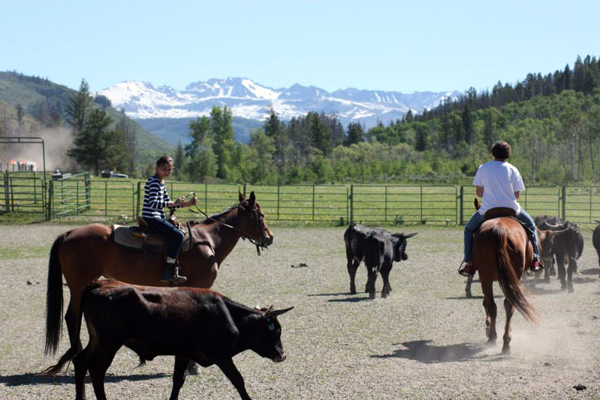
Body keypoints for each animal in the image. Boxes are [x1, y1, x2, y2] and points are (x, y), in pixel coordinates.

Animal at [43, 191, 274, 376]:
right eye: (261, 215)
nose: (270, 237)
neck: (208, 241)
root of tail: (70, 233)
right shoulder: (200, 286)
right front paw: (193, 366)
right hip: (78, 285)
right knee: (71, 317)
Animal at [72, 280, 292, 400]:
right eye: (276, 330)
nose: (282, 355)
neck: (229, 315)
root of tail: (101, 284)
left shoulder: (184, 354)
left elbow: (178, 381)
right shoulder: (221, 356)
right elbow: (238, 379)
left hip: (97, 341)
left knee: (80, 361)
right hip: (109, 343)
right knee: (97, 371)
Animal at [468, 200, 540, 354]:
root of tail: (498, 230)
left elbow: (486, 302)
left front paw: (488, 326)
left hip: (487, 276)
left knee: (495, 304)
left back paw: (496, 338)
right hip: (509, 276)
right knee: (506, 305)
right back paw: (503, 341)